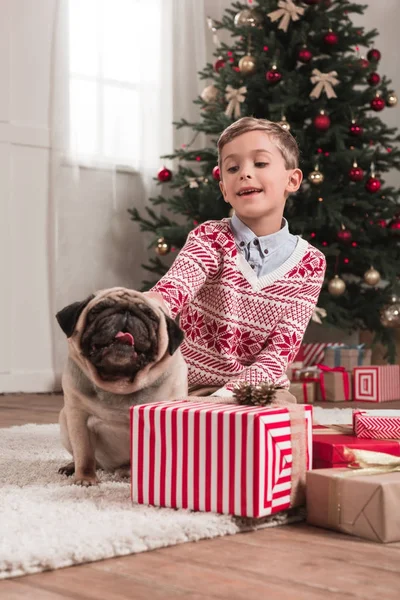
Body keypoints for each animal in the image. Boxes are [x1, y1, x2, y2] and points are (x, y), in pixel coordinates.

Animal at [55, 284, 188, 486]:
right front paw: (85, 479)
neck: (119, 382)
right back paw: (71, 467)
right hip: (64, 420)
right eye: (97, 310)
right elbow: (84, 455)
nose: (126, 312)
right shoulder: (77, 417)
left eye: (151, 317)